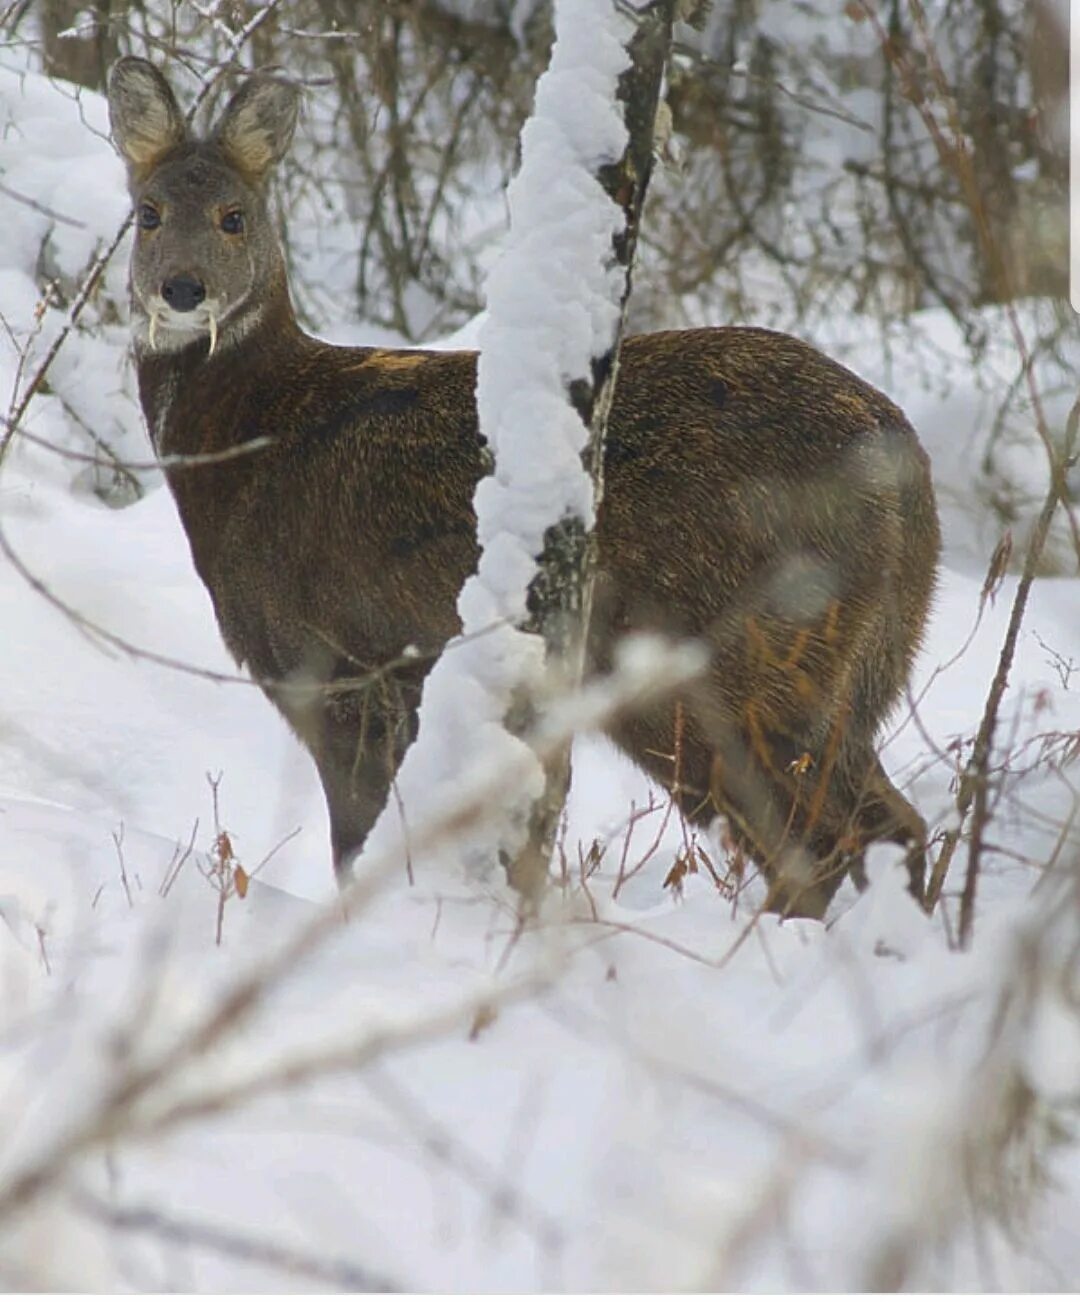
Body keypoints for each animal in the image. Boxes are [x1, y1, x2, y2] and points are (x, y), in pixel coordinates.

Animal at [109, 58, 937, 916]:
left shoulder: (342, 661)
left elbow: (357, 838)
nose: (181, 289)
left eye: (234, 216)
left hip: (726, 661)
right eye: (148, 212)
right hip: (831, 678)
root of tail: (907, 472)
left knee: (817, 843)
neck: (253, 432)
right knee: (891, 826)